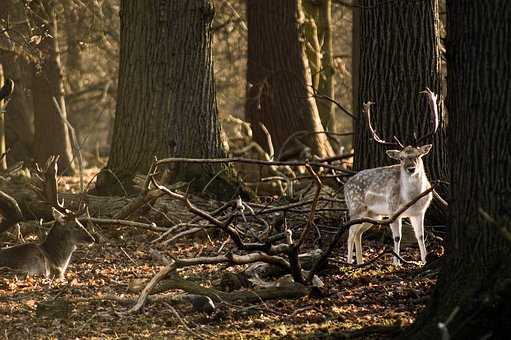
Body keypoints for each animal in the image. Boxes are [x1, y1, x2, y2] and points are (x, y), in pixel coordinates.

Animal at [346, 89, 442, 264]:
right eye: (401, 158)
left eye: (418, 155)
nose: (411, 168)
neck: (410, 199)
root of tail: (345, 185)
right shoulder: (393, 211)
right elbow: (397, 237)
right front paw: (397, 262)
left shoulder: (420, 213)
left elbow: (420, 236)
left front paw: (425, 260)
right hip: (356, 208)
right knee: (350, 234)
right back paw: (350, 262)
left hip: (373, 214)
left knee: (358, 234)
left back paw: (361, 262)